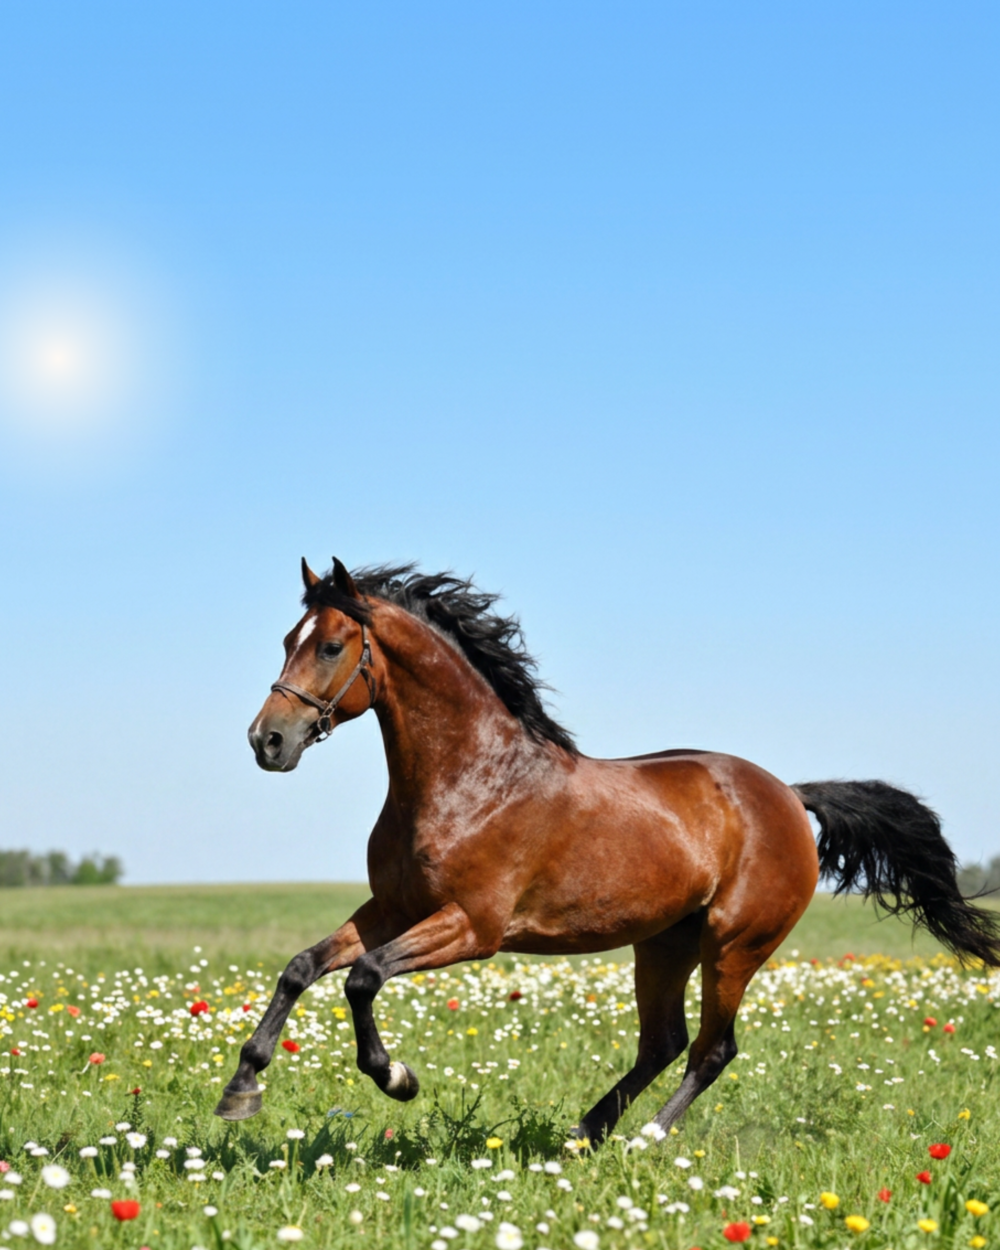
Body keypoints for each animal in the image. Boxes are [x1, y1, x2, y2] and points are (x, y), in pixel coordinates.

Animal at [216, 558, 1000, 1142]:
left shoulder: (472, 928)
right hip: (664, 943)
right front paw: (241, 1089)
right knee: (664, 1042)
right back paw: (584, 1133)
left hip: (734, 945)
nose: (267, 741)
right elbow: (302, 968)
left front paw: (397, 1079)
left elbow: (363, 978)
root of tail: (786, 793)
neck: (471, 779)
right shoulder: (393, 907)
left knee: (712, 1049)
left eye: (330, 645)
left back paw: (645, 1139)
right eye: (287, 638)